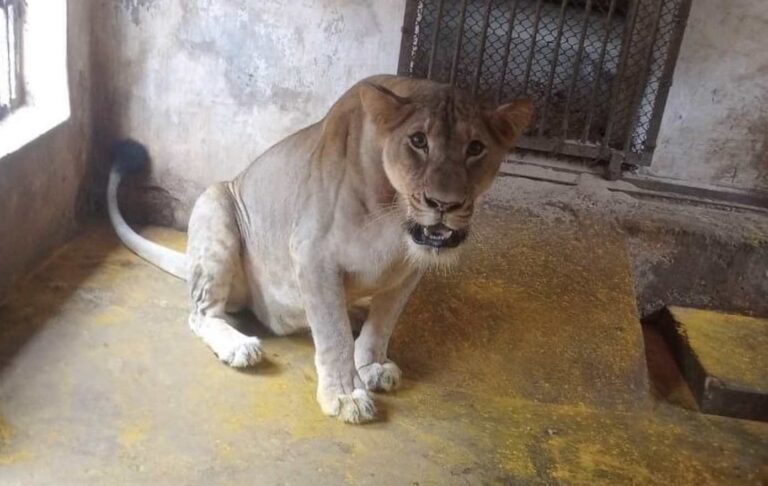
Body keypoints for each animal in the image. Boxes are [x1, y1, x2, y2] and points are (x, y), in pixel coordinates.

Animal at [107, 74, 533, 424]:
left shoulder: (407, 270)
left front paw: (372, 364)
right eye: (418, 141)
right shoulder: (313, 255)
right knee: (201, 312)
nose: (444, 204)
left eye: (475, 147)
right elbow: (333, 334)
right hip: (216, 205)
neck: (395, 213)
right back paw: (239, 345)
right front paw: (344, 396)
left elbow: (384, 323)